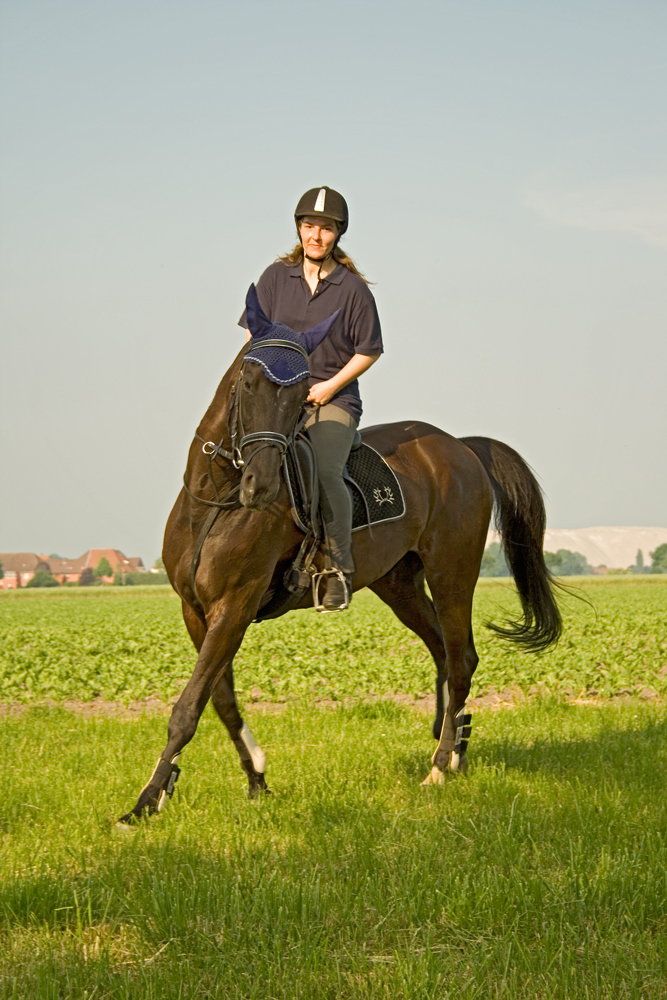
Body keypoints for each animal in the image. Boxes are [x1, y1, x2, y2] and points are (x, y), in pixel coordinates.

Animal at [117, 288, 560, 820]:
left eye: (300, 393)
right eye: (249, 381)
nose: (261, 486)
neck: (216, 500)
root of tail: (461, 447)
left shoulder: (234, 606)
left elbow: (189, 705)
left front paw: (145, 800)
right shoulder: (196, 610)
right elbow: (219, 699)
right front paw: (254, 777)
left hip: (452, 573)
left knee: (461, 660)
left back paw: (437, 766)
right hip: (400, 585)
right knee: (443, 653)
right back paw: (454, 747)